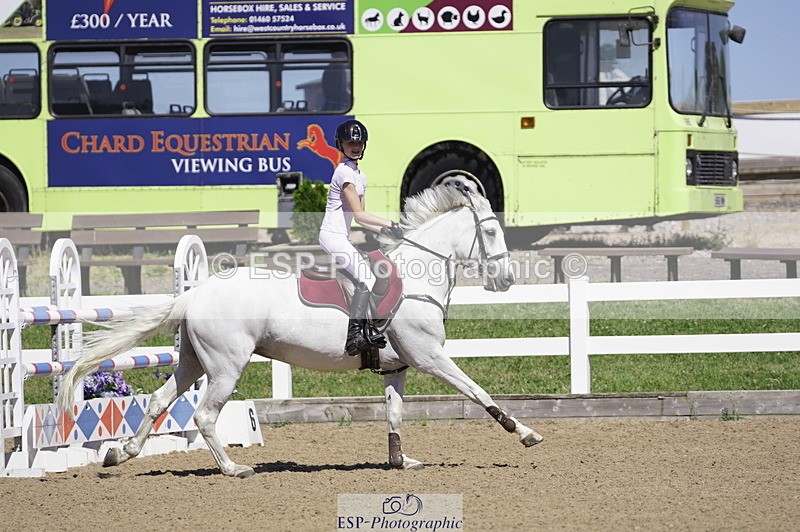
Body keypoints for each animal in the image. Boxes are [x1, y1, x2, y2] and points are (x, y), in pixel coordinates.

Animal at [56, 185, 543, 478]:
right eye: (492, 232)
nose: (506, 280)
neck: (416, 277)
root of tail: (194, 295)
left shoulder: (398, 367)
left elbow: (394, 414)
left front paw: (400, 461)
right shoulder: (429, 357)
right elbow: (477, 391)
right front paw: (524, 433)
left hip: (195, 361)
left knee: (160, 400)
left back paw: (121, 452)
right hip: (226, 367)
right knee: (204, 415)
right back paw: (234, 468)